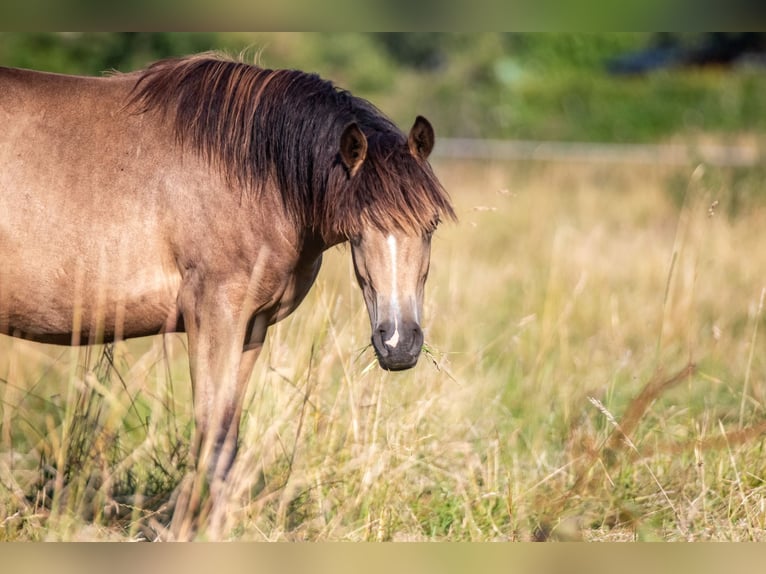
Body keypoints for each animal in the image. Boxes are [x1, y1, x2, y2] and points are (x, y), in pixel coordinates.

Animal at [0, 51, 456, 536]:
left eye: (431, 224)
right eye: (357, 230)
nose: (398, 344)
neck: (254, 175)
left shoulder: (251, 326)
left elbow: (228, 439)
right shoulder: (213, 315)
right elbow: (211, 433)